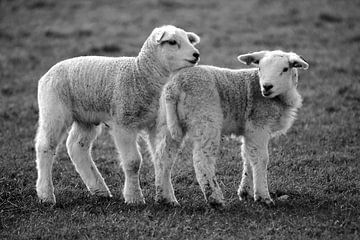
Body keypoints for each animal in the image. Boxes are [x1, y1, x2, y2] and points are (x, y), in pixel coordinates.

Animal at [35, 24, 201, 204]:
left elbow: (163, 160)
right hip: (53, 110)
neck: (141, 75)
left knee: (77, 146)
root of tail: (48, 73)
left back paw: (99, 189)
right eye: (172, 42)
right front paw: (134, 198)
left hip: (86, 117)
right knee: (45, 146)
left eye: (189, 40)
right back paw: (46, 194)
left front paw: (167, 198)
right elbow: (133, 162)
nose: (196, 54)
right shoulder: (124, 123)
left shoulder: (159, 124)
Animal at [153, 50, 308, 206]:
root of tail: (174, 86)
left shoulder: (250, 130)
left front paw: (245, 192)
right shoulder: (258, 126)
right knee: (202, 159)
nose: (267, 86)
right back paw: (215, 198)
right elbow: (261, 158)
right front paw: (263, 197)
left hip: (166, 122)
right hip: (206, 118)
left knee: (163, 157)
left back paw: (166, 198)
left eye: (285, 69)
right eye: (259, 68)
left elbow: (247, 156)